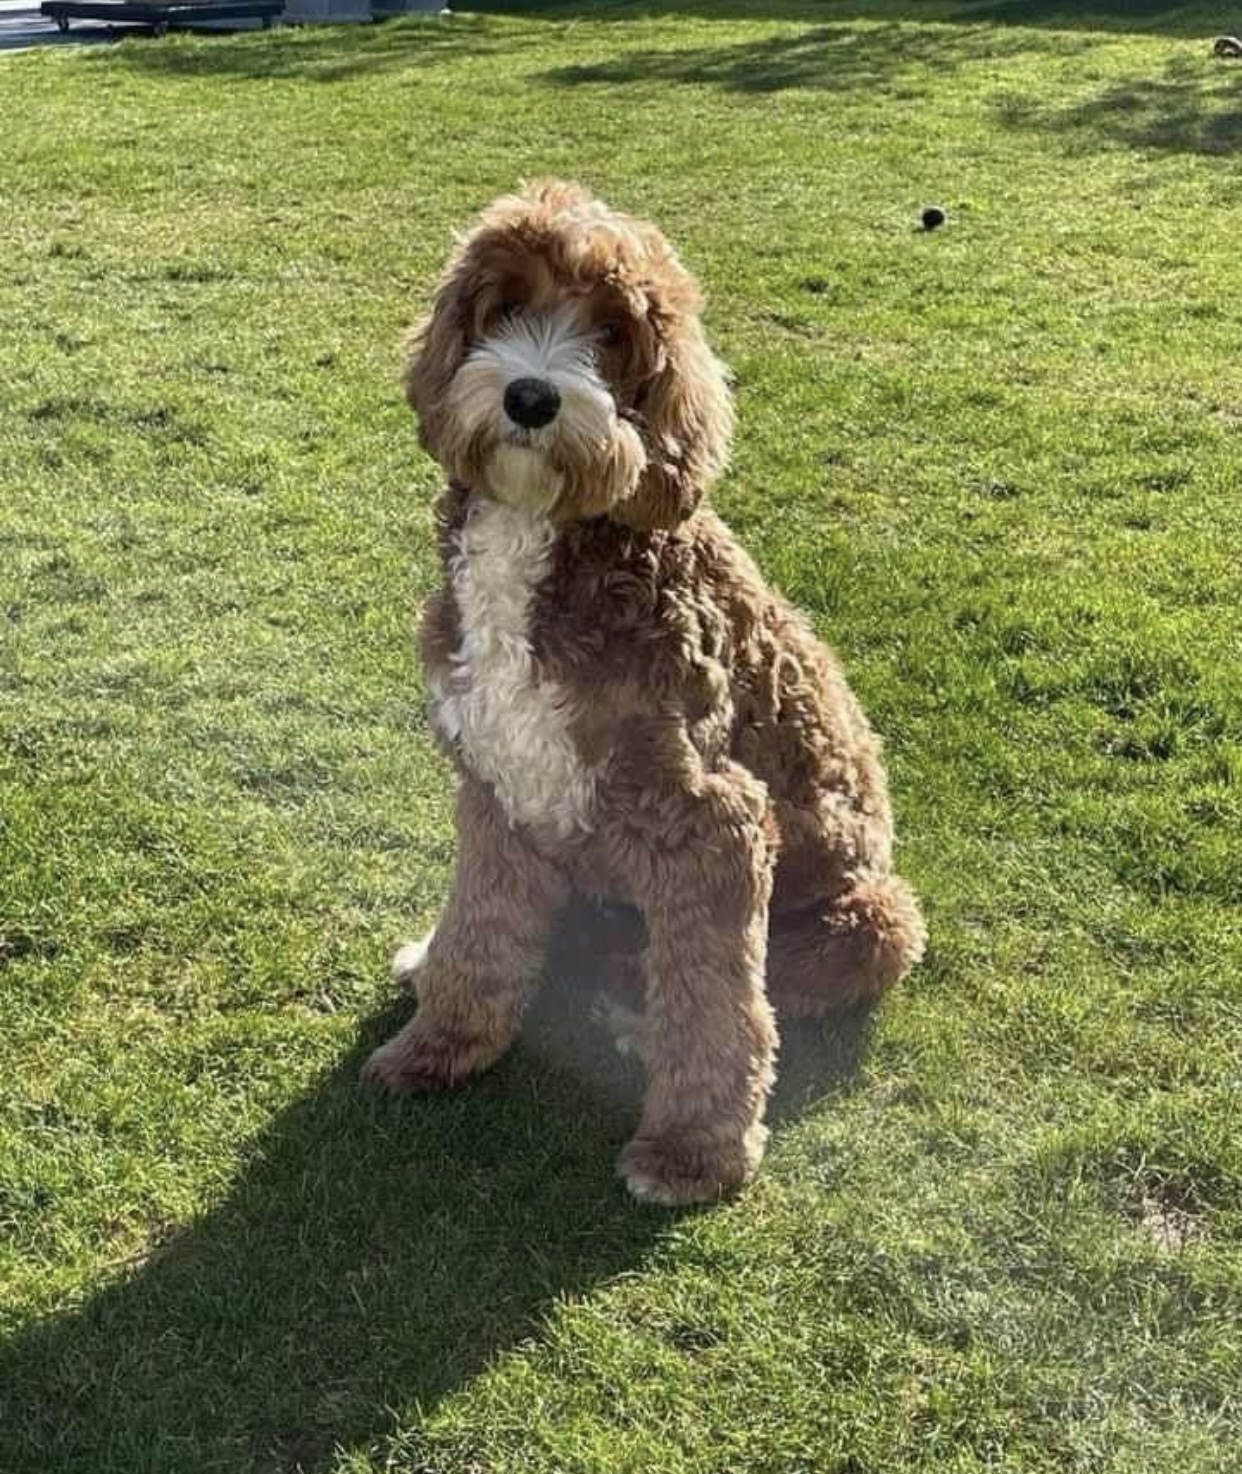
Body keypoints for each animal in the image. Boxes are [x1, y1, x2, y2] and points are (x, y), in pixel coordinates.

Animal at [359, 178, 925, 1202]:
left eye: (614, 331)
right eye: (505, 305)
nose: (531, 396)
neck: (539, 540)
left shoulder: (712, 823)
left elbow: (716, 1005)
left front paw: (694, 1151)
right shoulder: (495, 783)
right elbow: (481, 927)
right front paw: (439, 1045)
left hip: (873, 915)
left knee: (759, 984)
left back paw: (636, 1016)